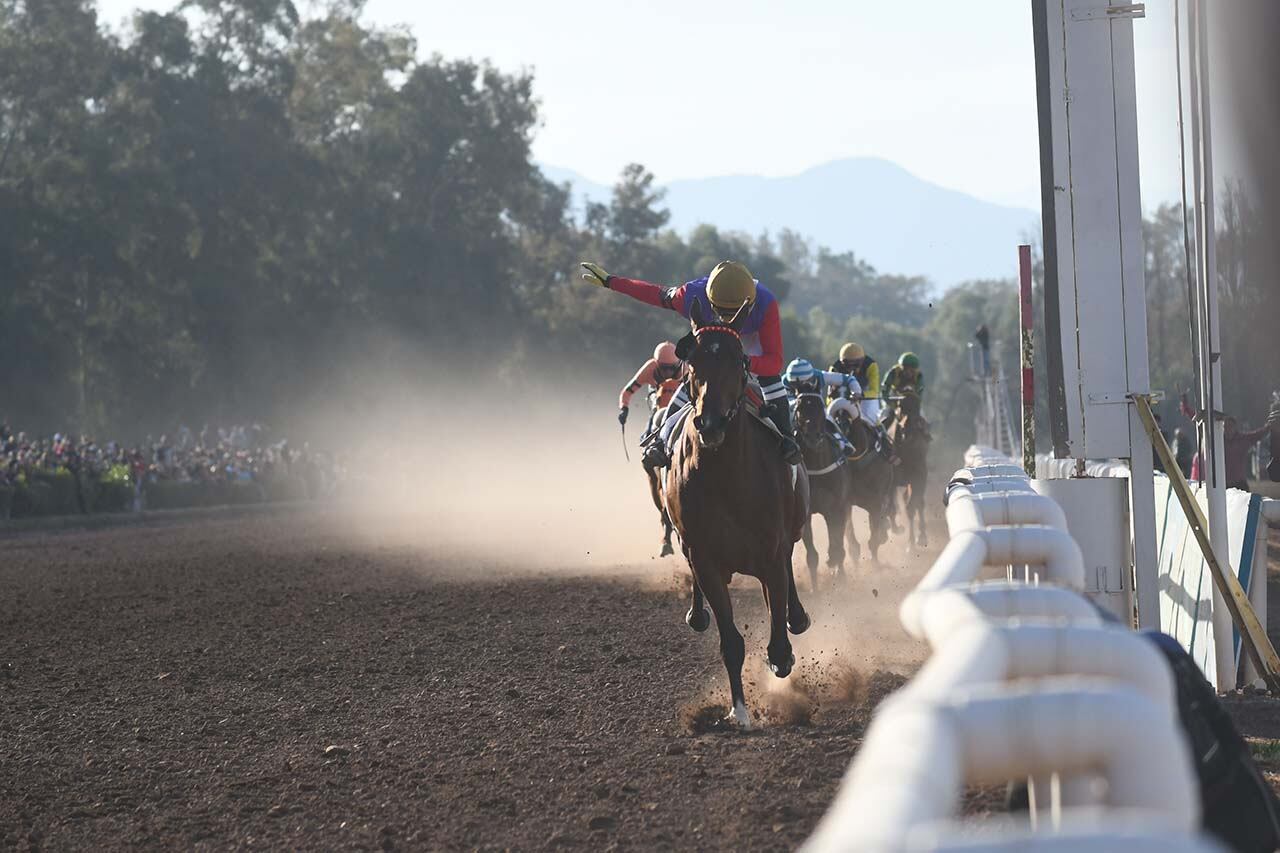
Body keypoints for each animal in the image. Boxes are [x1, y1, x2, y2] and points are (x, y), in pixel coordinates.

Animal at [660, 298, 808, 722]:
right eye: (691, 361)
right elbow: (731, 643)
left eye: (739, 360)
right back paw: (697, 614)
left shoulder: (772, 553)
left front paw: (782, 653)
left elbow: (779, 647)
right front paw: (738, 712)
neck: (727, 477)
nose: (710, 423)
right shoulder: (706, 558)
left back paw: (797, 617)